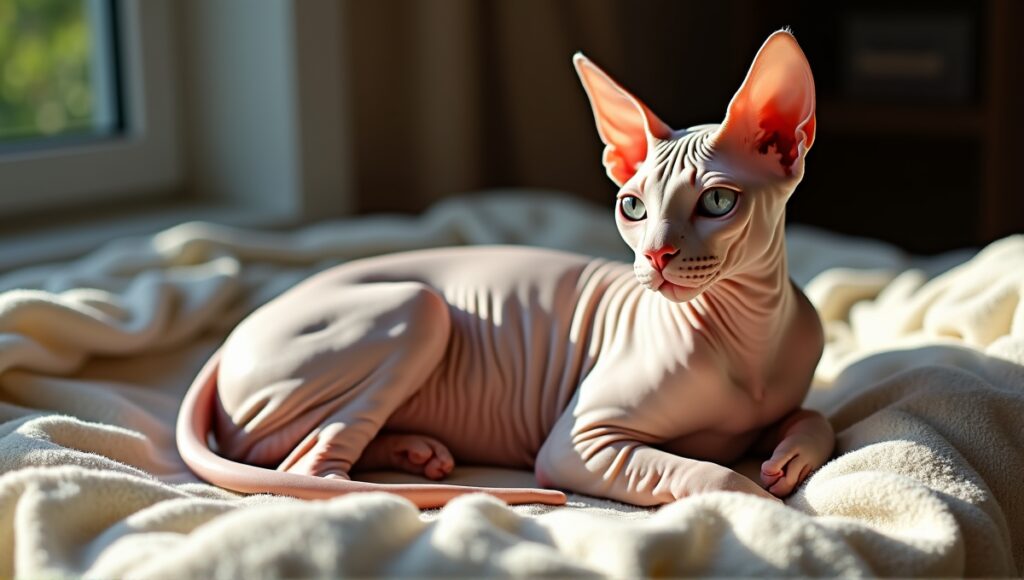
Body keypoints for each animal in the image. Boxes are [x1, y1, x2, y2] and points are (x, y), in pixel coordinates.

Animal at [176, 34, 831, 512]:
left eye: (718, 202)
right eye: (633, 206)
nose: (655, 256)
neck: (749, 335)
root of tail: (234, 336)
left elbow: (817, 418)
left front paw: (790, 457)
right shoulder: (578, 444)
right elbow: (721, 477)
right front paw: (776, 509)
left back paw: (415, 453)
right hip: (417, 308)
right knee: (306, 469)